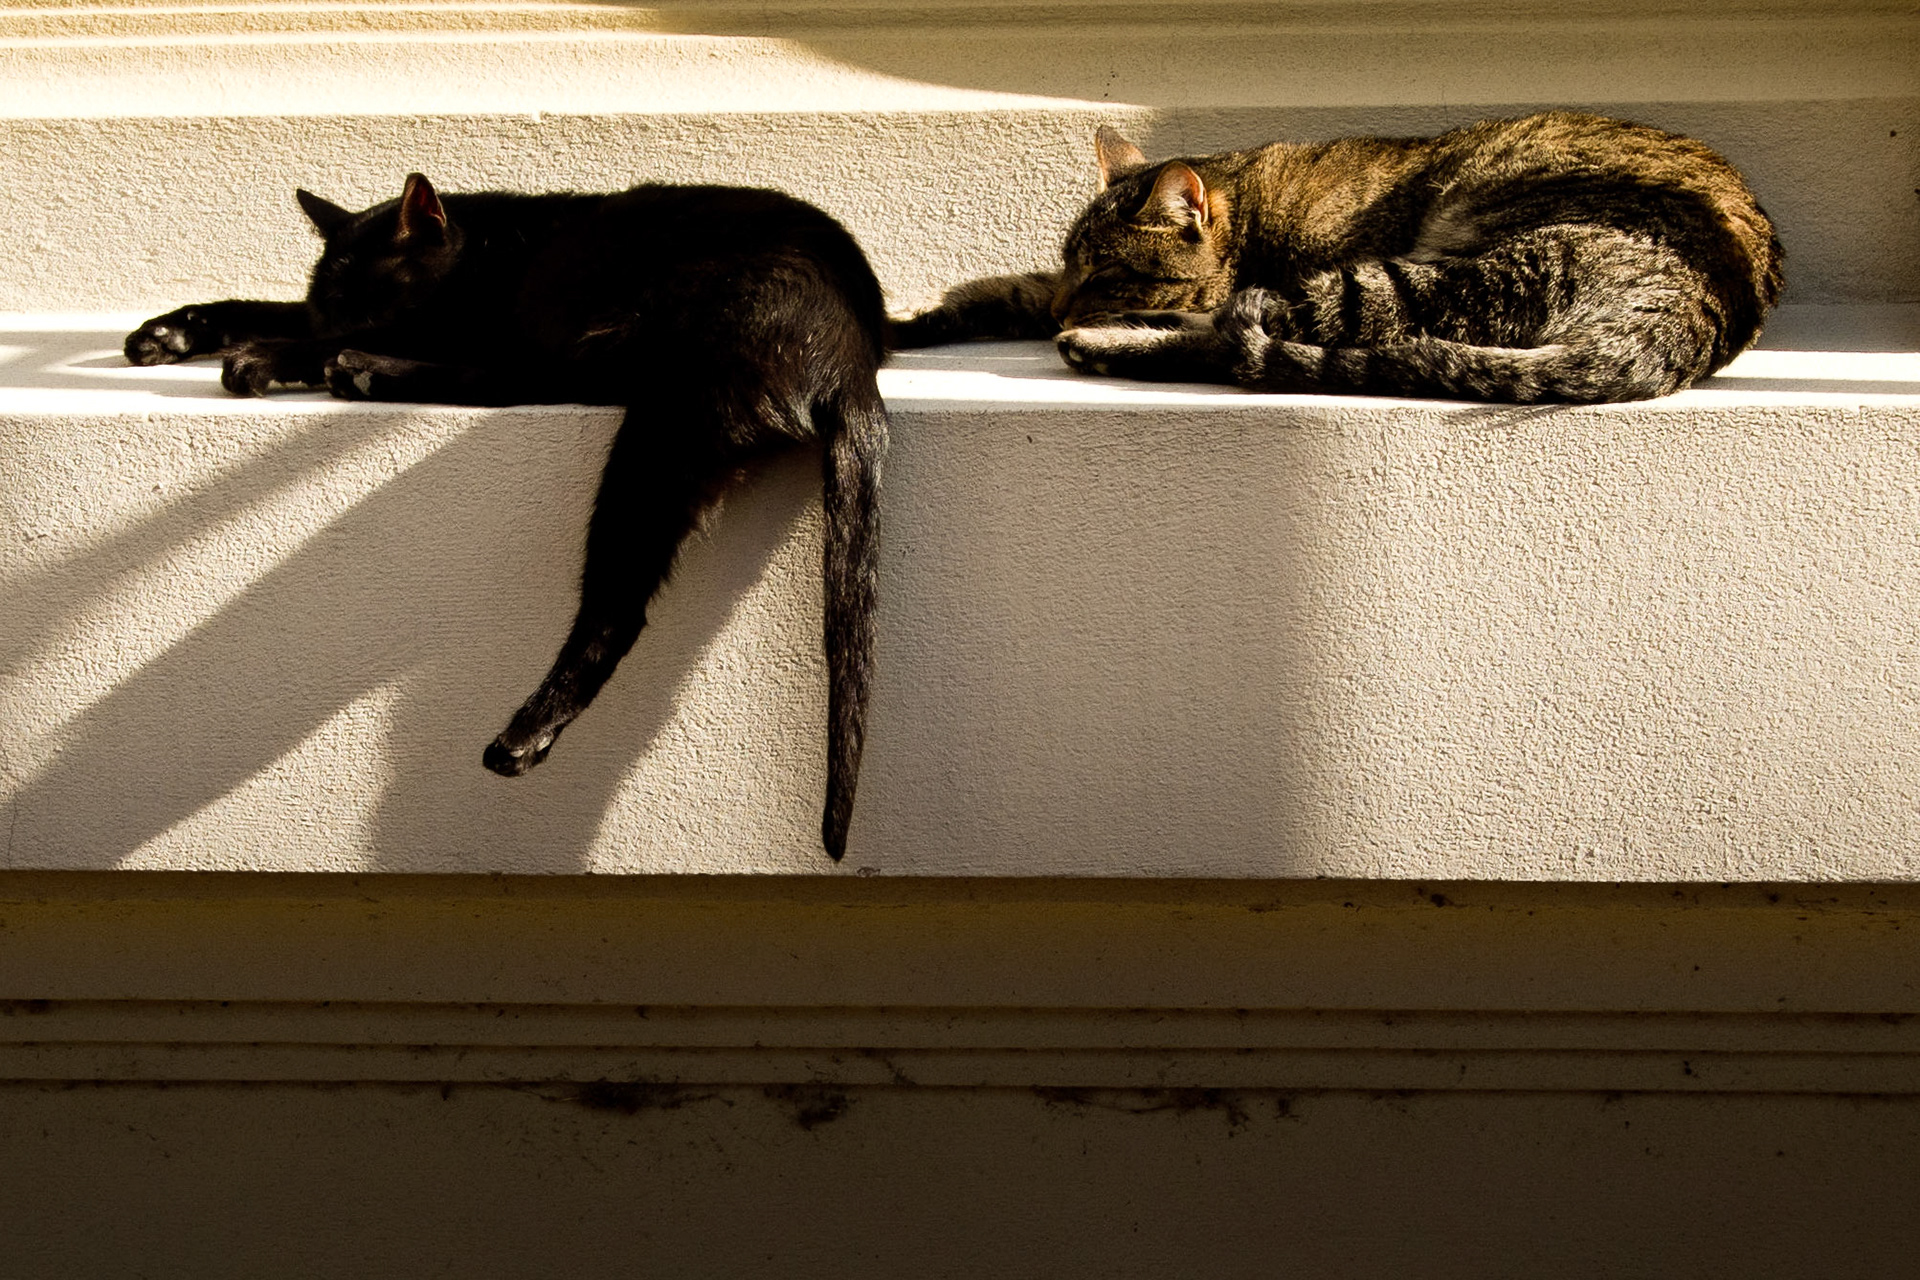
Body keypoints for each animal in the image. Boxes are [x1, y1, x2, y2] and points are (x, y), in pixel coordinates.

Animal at [125, 174, 888, 859]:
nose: (343, 330)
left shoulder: (460, 330)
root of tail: (850, 349)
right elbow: (269, 305)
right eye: (328, 300)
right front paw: (167, 333)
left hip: (657, 414)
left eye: (371, 306)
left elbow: (306, 333)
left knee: (613, 600)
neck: (479, 253)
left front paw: (270, 357)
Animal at [892, 111, 1784, 403]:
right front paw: (909, 318)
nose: (1066, 310)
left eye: (1109, 271)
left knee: (1236, 343)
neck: (1247, 198)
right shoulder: (1033, 287)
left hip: (1420, 276)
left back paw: (1103, 346)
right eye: (1075, 263)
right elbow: (997, 288)